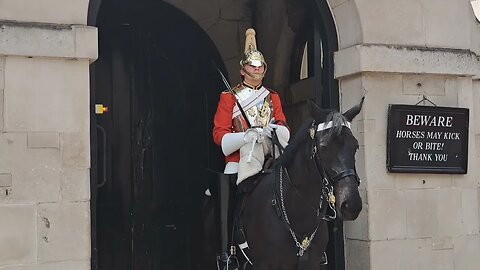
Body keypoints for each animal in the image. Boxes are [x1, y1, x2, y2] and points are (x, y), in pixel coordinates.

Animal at [202, 99, 364, 270]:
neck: (297, 213)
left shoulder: (311, 263)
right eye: (323, 146)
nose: (351, 205)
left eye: (355, 146)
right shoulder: (266, 265)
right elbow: (222, 133)